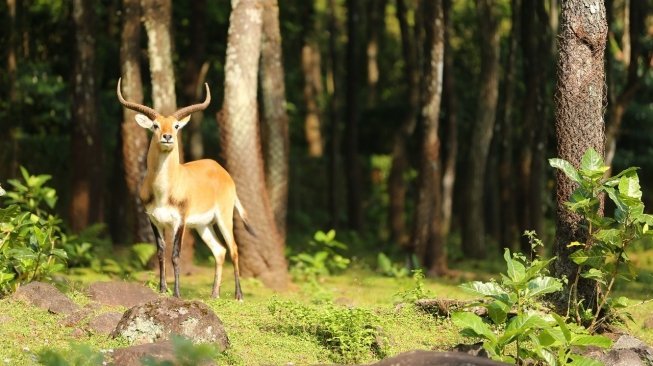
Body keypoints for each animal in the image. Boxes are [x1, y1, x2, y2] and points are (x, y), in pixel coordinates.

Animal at [116, 77, 251, 300]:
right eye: (155, 125)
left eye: (177, 125)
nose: (167, 136)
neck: (164, 192)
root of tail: (221, 170)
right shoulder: (154, 220)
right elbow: (160, 252)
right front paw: (163, 289)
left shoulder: (180, 221)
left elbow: (176, 254)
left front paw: (177, 294)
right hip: (203, 225)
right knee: (219, 250)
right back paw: (214, 294)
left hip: (224, 217)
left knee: (233, 248)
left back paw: (238, 295)